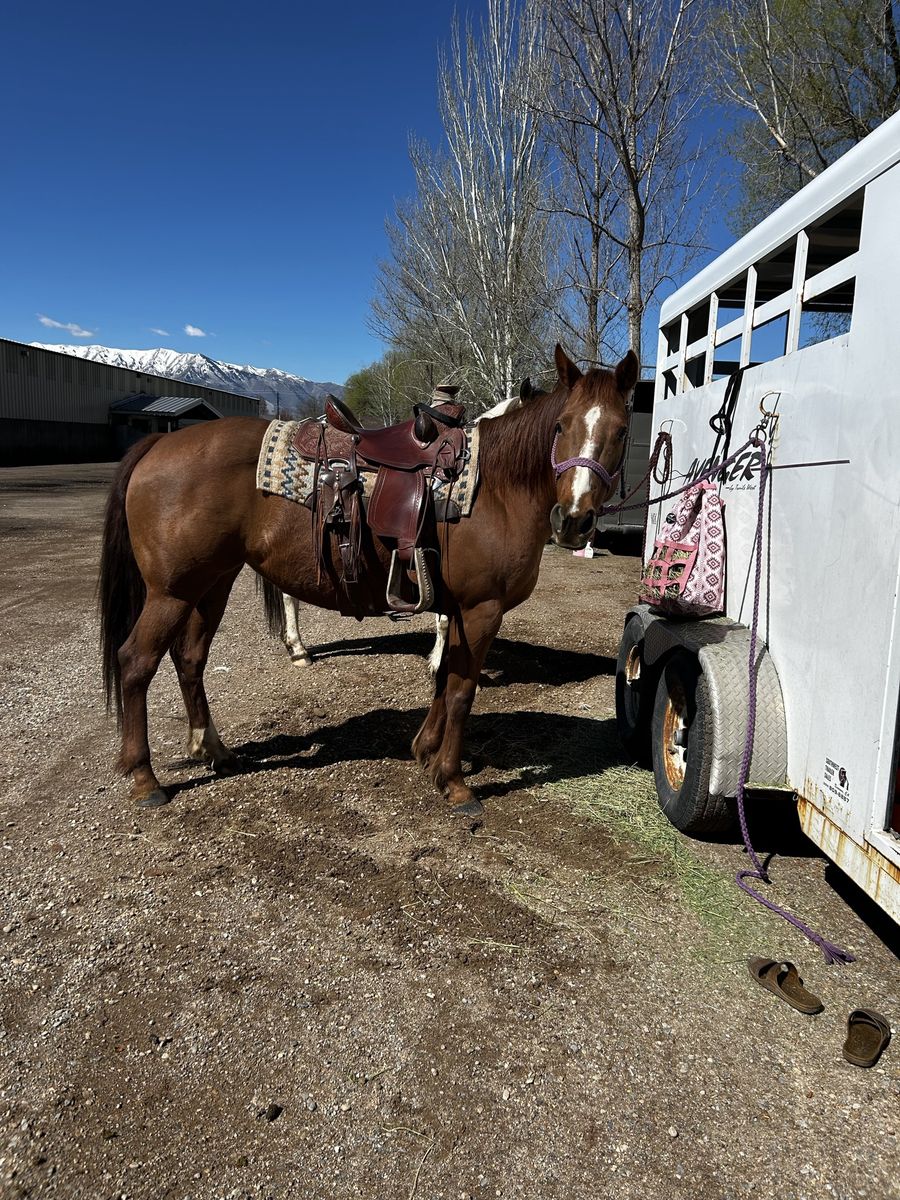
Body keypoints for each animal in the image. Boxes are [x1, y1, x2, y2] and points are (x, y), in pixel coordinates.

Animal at [99, 344, 636, 815]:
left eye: (623, 431)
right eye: (562, 425)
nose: (574, 520)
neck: (497, 487)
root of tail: (160, 442)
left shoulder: (456, 609)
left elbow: (444, 679)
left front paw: (425, 751)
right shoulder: (481, 609)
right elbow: (462, 692)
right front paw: (455, 782)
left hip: (212, 583)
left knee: (189, 659)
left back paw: (214, 749)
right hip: (171, 592)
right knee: (136, 663)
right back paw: (145, 778)